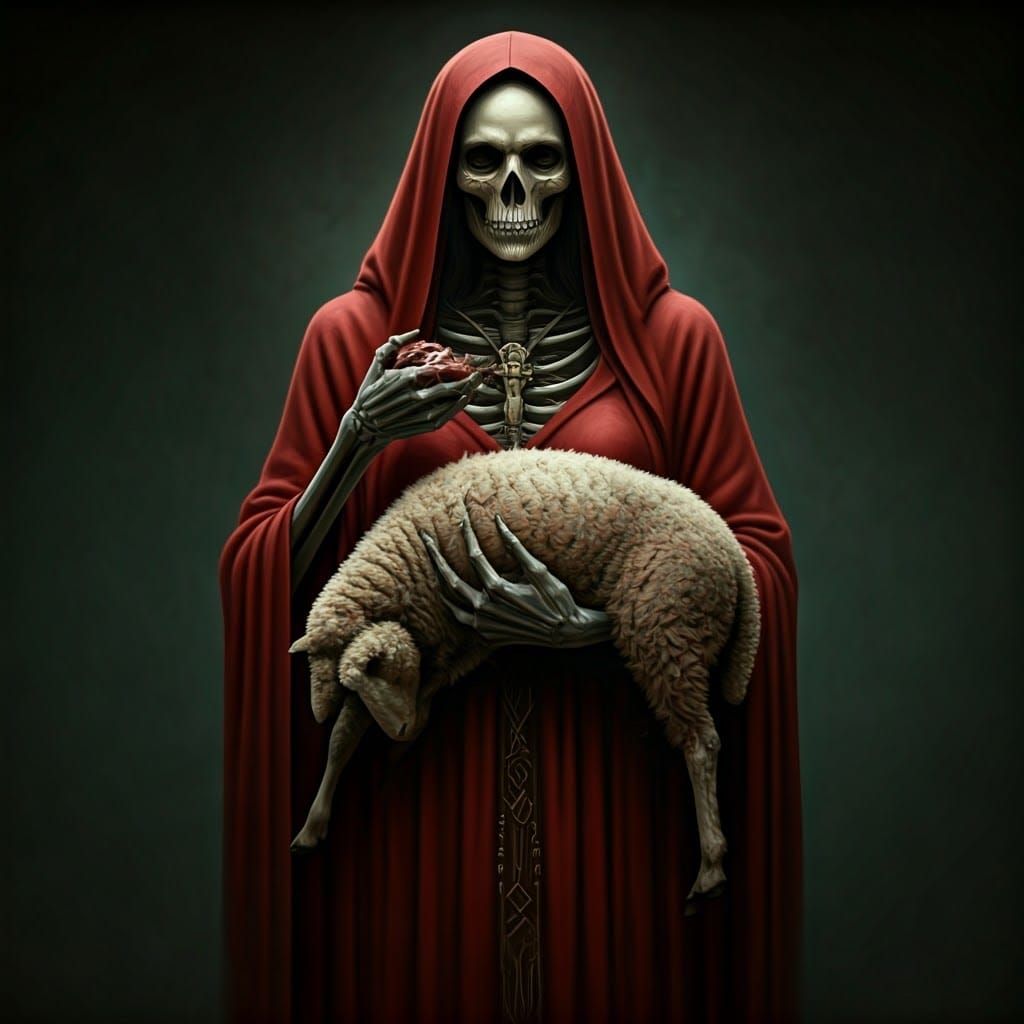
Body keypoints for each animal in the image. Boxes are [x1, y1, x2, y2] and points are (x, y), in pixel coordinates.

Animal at [288, 448, 760, 905]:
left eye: (375, 669)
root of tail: (737, 560)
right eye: (350, 679)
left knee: (701, 742)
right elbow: (343, 735)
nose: (406, 730)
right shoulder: (450, 643)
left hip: (667, 629)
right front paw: (311, 827)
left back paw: (711, 869)